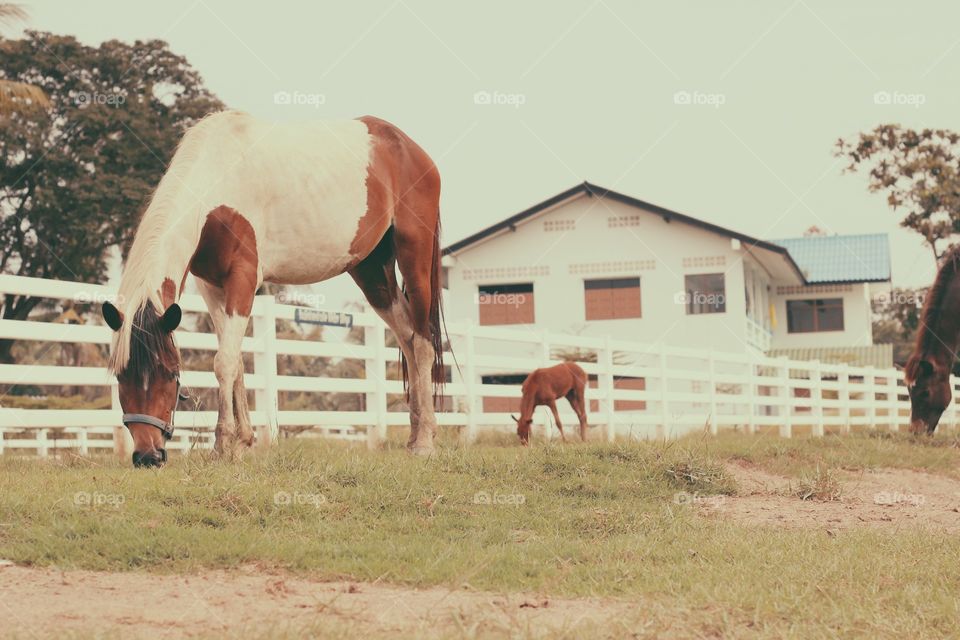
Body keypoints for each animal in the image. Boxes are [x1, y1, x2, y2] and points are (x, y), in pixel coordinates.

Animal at [101, 111, 444, 467]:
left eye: (170, 373)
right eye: (120, 375)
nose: (147, 455)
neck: (219, 179)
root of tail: (411, 149)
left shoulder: (244, 279)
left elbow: (224, 361)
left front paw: (222, 446)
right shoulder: (211, 286)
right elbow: (235, 360)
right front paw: (243, 441)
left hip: (414, 257)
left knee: (422, 342)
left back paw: (425, 441)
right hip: (372, 271)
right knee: (406, 336)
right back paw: (413, 436)